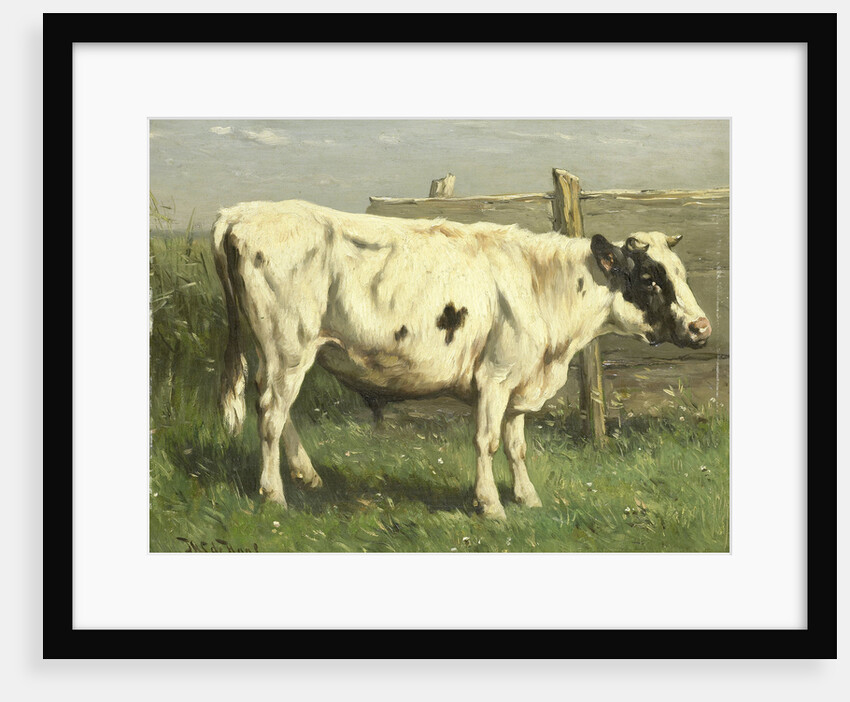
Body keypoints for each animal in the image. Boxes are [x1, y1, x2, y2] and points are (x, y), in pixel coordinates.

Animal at [211, 200, 711, 519]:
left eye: (681, 272)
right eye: (649, 278)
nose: (702, 328)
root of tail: (241, 212)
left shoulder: (520, 380)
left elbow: (516, 444)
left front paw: (527, 498)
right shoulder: (496, 375)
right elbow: (487, 442)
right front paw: (490, 505)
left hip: (278, 352)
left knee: (271, 404)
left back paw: (307, 475)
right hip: (289, 347)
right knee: (271, 414)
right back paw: (274, 494)